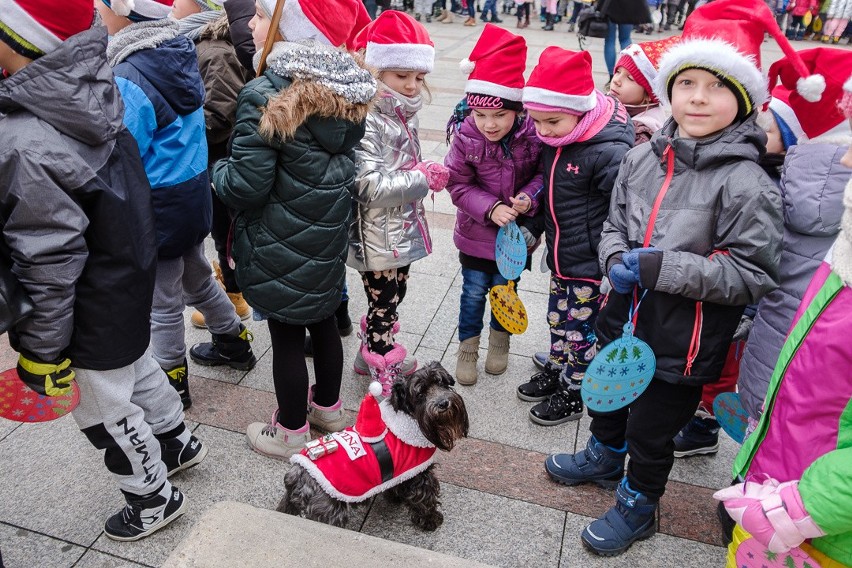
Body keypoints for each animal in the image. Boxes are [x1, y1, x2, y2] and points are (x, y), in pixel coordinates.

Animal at [280, 362, 470, 532]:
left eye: (441, 383)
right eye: (420, 394)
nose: (444, 403)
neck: (409, 420)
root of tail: (298, 476)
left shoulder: (402, 472)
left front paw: (396, 498)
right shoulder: (419, 475)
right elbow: (425, 499)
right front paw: (431, 520)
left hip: (291, 504)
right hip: (331, 513)